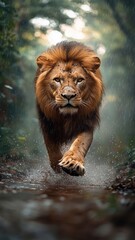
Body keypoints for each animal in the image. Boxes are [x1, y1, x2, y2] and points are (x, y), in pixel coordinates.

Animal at [34, 41, 103, 176]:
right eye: (57, 80)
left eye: (79, 80)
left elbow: (80, 143)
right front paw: (57, 165)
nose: (68, 96)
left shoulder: (86, 123)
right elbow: (51, 147)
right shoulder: (47, 123)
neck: (66, 116)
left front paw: (72, 164)